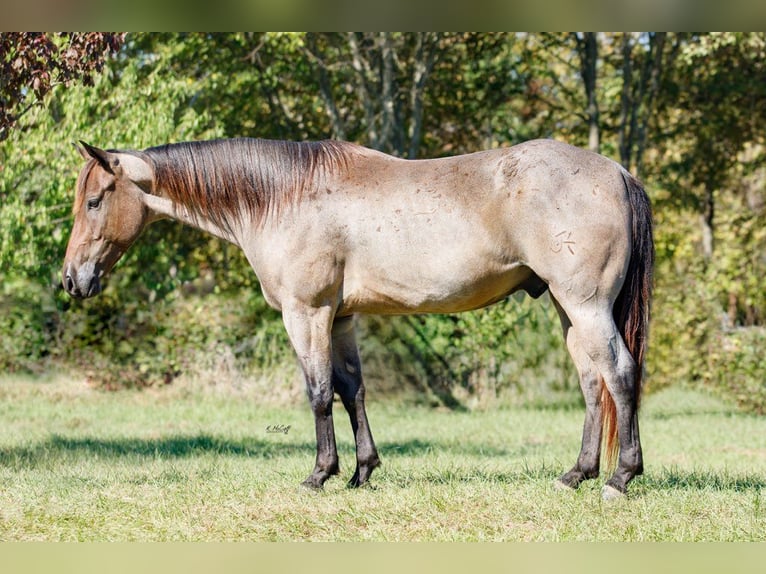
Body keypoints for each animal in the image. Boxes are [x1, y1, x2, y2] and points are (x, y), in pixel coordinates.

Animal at [64, 137, 656, 502]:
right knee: (592, 383)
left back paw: (620, 478)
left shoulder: (307, 313)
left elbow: (319, 392)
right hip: (567, 308)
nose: (72, 279)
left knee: (620, 374)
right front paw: (361, 472)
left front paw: (319, 474)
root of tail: (618, 172)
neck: (285, 197)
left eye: (95, 200)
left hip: (584, 305)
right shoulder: (343, 318)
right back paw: (576, 475)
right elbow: (353, 390)